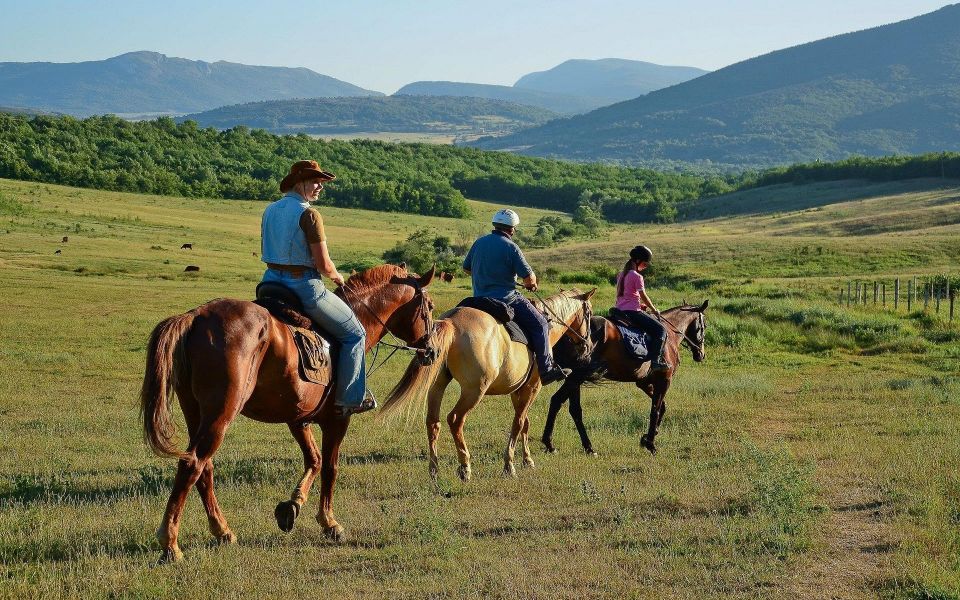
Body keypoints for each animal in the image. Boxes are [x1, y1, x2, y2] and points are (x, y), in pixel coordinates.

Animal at [139, 264, 436, 564]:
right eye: (430, 307)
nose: (431, 351)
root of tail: (195, 317)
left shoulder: (298, 418)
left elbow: (314, 460)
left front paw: (292, 506)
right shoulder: (338, 419)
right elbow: (330, 467)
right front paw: (329, 522)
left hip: (196, 412)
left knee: (203, 467)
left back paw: (222, 531)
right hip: (221, 414)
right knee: (193, 464)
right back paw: (170, 543)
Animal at [380, 288, 592, 480]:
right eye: (589, 314)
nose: (587, 346)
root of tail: (451, 322)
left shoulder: (518, 391)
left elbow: (524, 423)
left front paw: (527, 459)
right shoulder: (532, 387)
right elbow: (519, 423)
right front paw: (509, 465)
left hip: (437, 386)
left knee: (433, 422)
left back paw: (434, 470)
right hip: (475, 391)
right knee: (455, 419)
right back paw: (465, 467)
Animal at [544, 302, 708, 458]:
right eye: (704, 326)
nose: (701, 354)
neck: (669, 336)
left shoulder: (644, 382)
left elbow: (662, 408)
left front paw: (646, 438)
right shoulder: (664, 381)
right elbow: (655, 410)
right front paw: (651, 444)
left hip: (575, 378)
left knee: (569, 407)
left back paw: (576, 446)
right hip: (576, 377)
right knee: (561, 403)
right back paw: (558, 444)